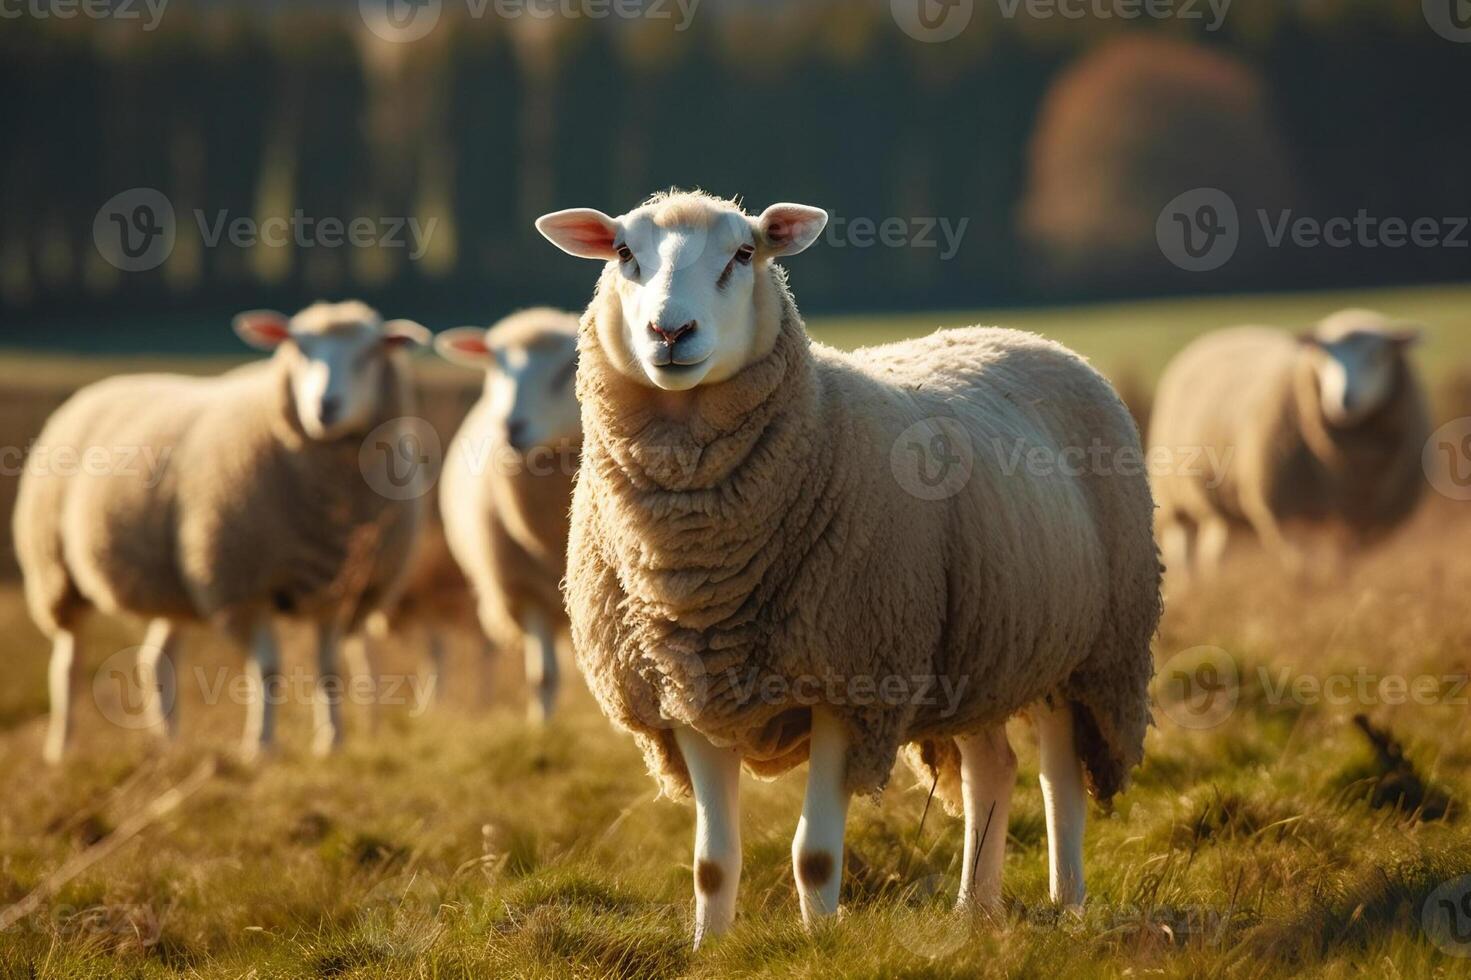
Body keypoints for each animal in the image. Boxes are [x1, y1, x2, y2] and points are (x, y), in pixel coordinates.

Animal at [14, 301, 429, 759]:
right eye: (298, 348)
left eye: (369, 353)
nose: (325, 407)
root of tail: (105, 384)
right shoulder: (241, 585)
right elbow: (267, 668)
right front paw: (261, 746)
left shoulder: (339, 589)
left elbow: (329, 669)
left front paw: (331, 742)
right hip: (54, 569)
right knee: (68, 662)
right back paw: (62, 748)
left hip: (174, 581)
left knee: (156, 660)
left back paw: (168, 745)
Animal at [432, 309, 582, 721]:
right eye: (496, 364)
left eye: (567, 368)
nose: (510, 426)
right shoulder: (523, 588)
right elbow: (542, 677)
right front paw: (542, 730)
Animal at [535, 186, 1165, 941]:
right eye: (624, 253)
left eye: (743, 253)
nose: (669, 331)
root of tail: (1024, 335)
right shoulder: (684, 694)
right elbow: (711, 864)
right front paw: (708, 948)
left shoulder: (850, 682)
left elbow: (813, 854)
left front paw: (820, 943)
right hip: (982, 648)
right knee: (993, 767)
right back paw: (973, 912)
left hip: (1089, 652)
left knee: (1057, 776)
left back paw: (1066, 903)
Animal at [1147, 307, 1423, 579]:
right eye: (1324, 356)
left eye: (1378, 356)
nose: (1344, 400)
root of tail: (1219, 334)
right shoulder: (1285, 512)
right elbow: (1300, 562)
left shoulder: (1369, 520)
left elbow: (1344, 563)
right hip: (1173, 492)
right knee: (1182, 545)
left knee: (1215, 548)